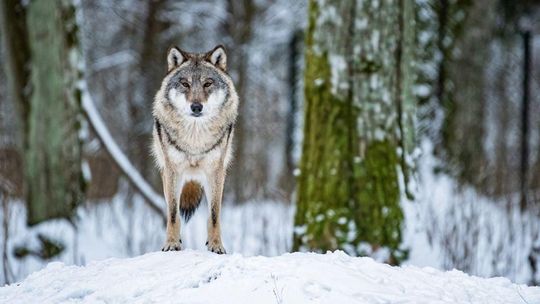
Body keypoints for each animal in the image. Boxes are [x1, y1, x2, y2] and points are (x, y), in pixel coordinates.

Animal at [151, 45, 237, 254]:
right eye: (185, 84)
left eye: (207, 84)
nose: (196, 107)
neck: (195, 140)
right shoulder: (173, 171)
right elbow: (173, 213)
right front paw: (172, 244)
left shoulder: (215, 171)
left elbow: (214, 214)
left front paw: (216, 246)